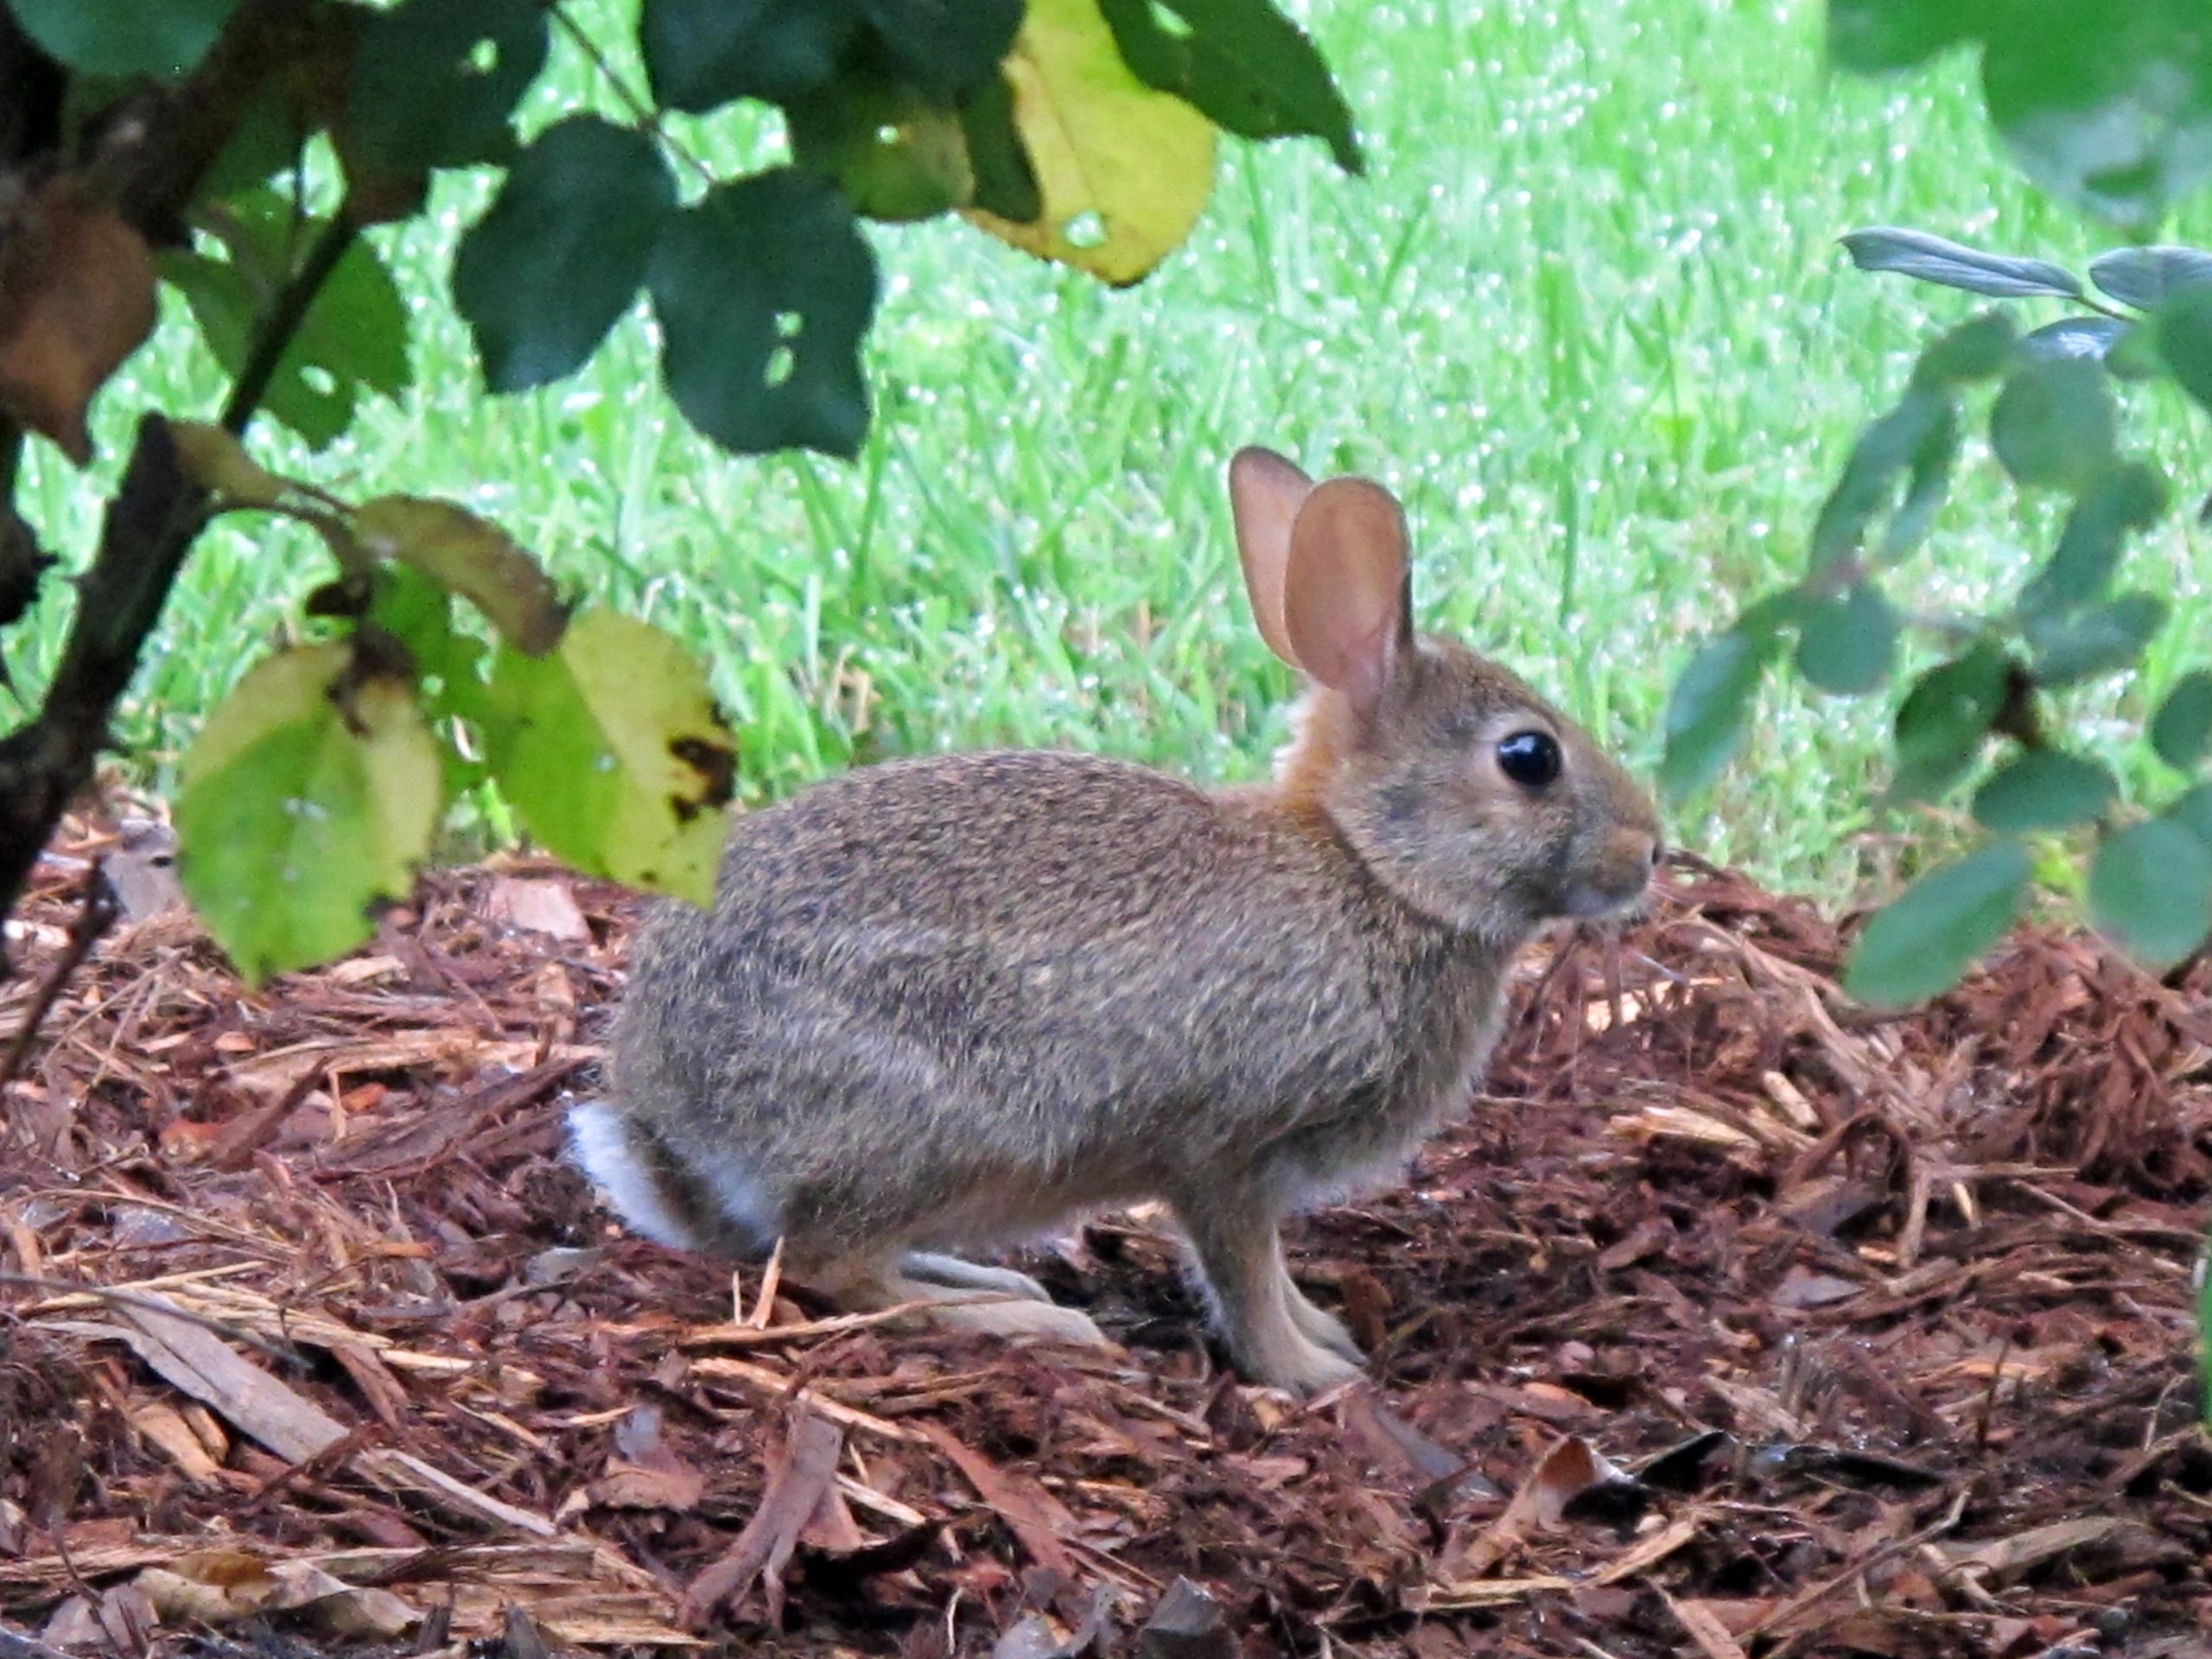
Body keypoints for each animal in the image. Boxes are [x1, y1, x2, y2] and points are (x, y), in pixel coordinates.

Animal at [569, 446, 1662, 1393]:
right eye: (1528, 758)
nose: (1650, 848)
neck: (1371, 872)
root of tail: (665, 1121)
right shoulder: (1226, 1151)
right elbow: (1241, 1269)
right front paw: (1309, 1373)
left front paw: (1324, 1333)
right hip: (939, 1127)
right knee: (829, 1263)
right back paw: (1024, 1318)